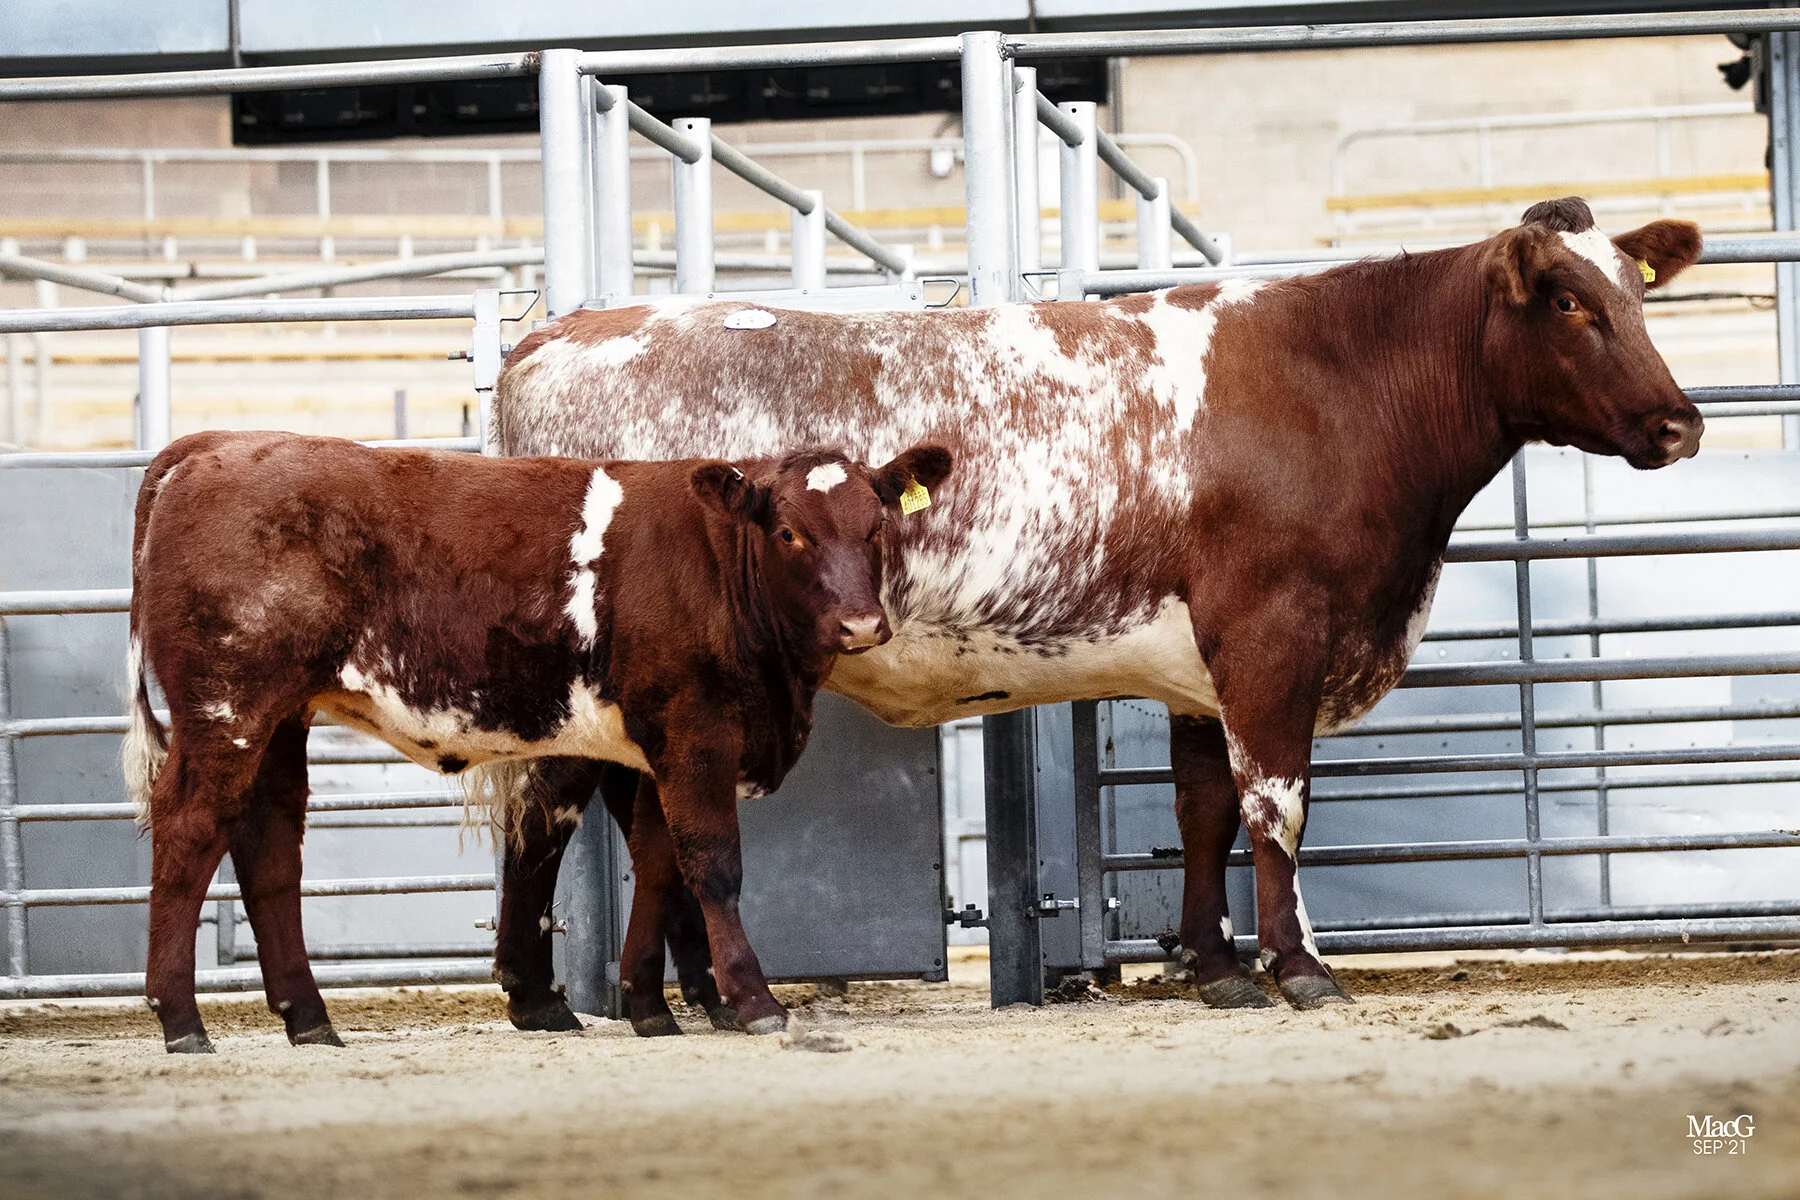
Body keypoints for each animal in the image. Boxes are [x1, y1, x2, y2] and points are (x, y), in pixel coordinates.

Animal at [122, 429, 953, 1052]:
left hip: (278, 719)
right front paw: (752, 1001)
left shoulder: (653, 749)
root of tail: (213, 446)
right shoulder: (696, 737)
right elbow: (711, 866)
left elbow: (658, 866)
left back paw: (310, 1019)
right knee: (190, 831)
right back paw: (182, 1020)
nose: (861, 624)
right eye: (789, 532)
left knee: (269, 851)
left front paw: (652, 1006)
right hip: (227, 709)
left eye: (876, 527)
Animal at [490, 197, 1705, 1023]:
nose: (1680, 423)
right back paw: (552, 994)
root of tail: (560, 333)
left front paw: (1217, 967)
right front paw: (1299, 966)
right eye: (1568, 301)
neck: (1336, 385)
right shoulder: (1272, 633)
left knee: (641, 820)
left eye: (1639, 293)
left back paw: (672, 994)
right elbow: (1277, 804)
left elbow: (1204, 810)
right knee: (553, 809)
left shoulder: (1203, 666)